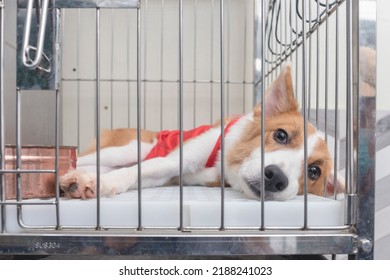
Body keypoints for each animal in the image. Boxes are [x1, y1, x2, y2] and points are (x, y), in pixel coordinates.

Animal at [59, 64, 342, 199]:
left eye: (314, 172)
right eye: (281, 135)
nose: (275, 177)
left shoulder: (174, 178)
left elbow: (140, 177)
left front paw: (101, 183)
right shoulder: (175, 159)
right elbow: (139, 169)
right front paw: (103, 183)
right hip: (129, 148)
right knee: (93, 159)